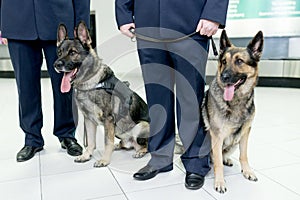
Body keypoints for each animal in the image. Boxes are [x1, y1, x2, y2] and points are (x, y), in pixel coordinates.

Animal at [203, 29, 264, 192]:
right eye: (224, 61)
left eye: (239, 61)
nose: (224, 77)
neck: (236, 101)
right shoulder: (217, 136)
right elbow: (217, 162)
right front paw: (219, 182)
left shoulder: (245, 133)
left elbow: (244, 155)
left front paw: (247, 171)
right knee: (213, 158)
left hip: (234, 143)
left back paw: (227, 159)